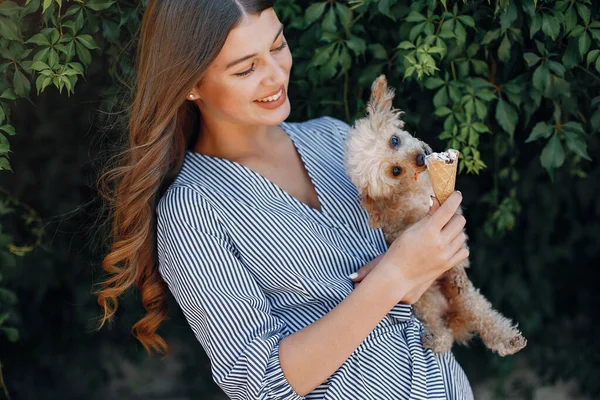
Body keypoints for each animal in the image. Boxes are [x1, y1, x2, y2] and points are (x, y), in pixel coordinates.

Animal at [344, 75, 528, 356]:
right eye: (395, 171)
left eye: (394, 140)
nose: (421, 157)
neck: (415, 191)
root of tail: (450, 314)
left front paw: (457, 273)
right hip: (424, 303)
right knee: (441, 330)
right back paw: (436, 338)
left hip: (469, 300)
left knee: (486, 318)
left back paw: (508, 339)